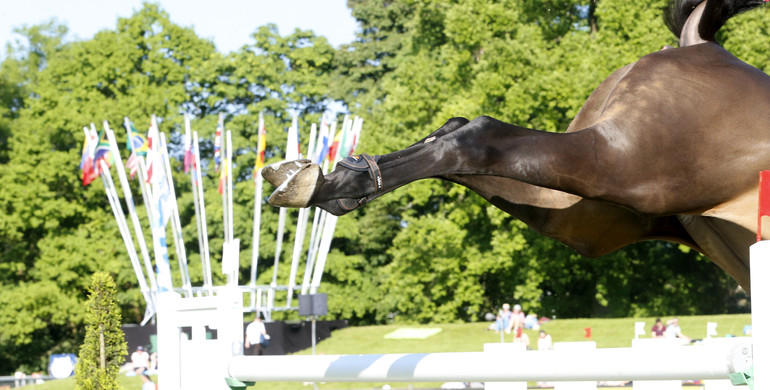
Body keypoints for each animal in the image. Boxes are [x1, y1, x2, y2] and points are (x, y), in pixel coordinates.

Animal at [266, 0, 768, 292]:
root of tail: (701, 43)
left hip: (590, 213)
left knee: (459, 130)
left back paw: (332, 181)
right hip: (632, 167)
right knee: (477, 134)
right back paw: (326, 184)